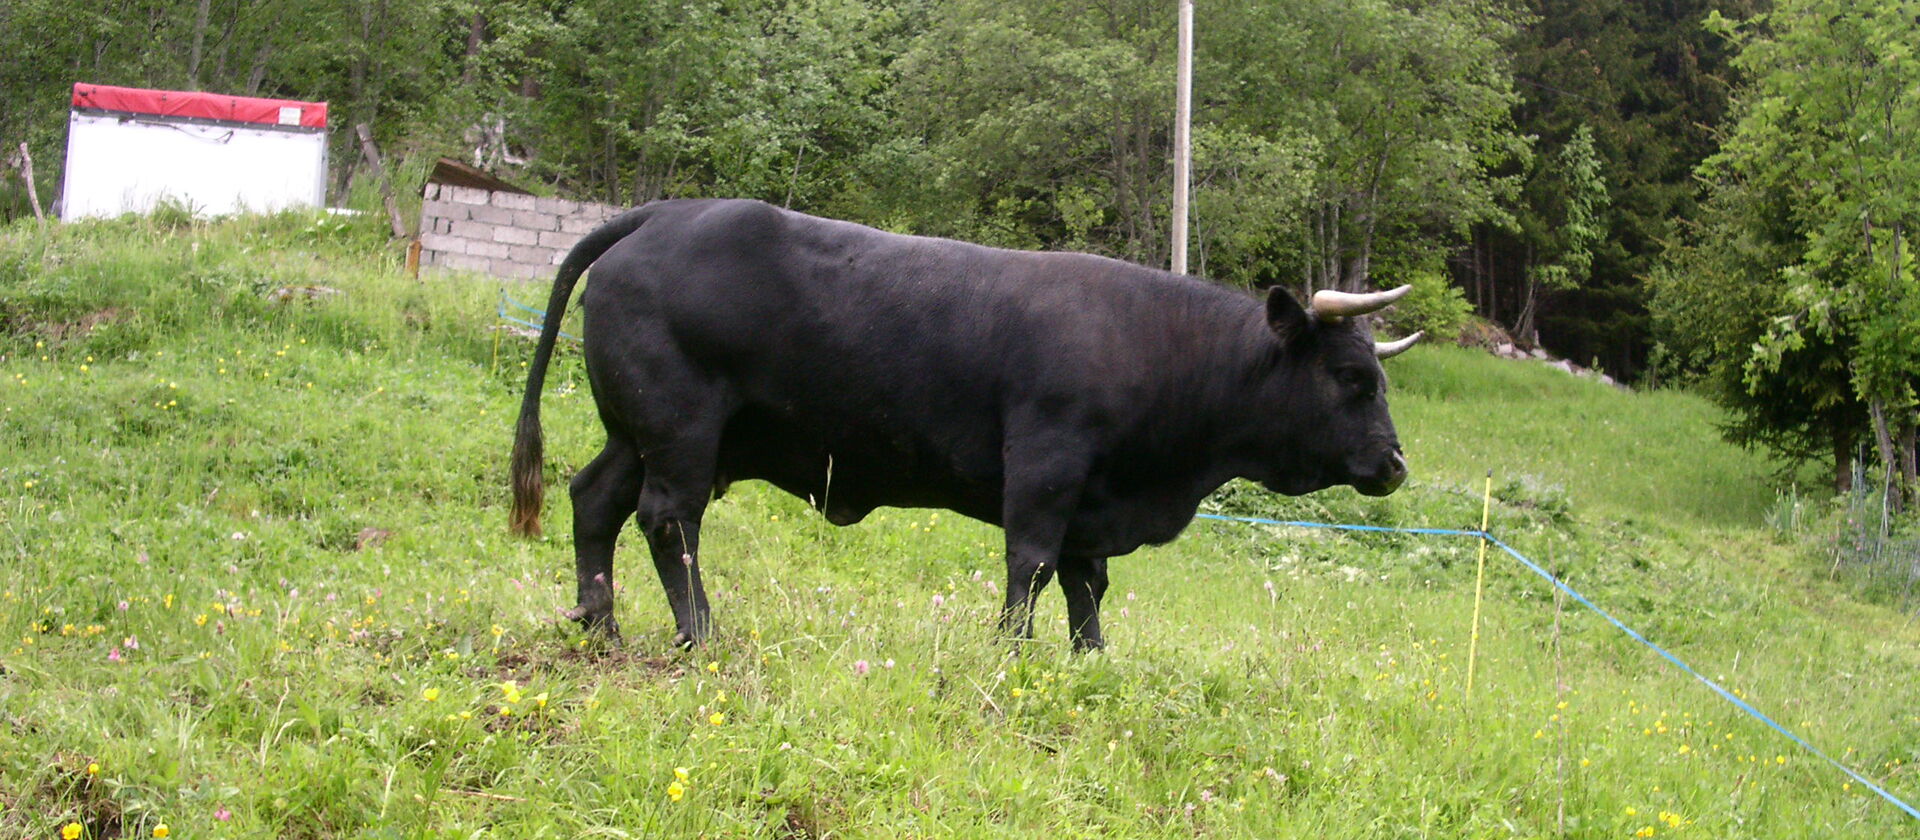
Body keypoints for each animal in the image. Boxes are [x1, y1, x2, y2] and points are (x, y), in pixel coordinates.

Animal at [509, 198, 1420, 651]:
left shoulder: (1093, 501)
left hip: (637, 433)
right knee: (669, 520)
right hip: (682, 430)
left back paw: (599, 626)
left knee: (595, 501)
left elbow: (1088, 587)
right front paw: (1009, 656)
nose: (1395, 464)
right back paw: (701, 636)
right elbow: (1033, 569)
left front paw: (1090, 665)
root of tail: (666, 214)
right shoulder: (1047, 465)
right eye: (1350, 378)